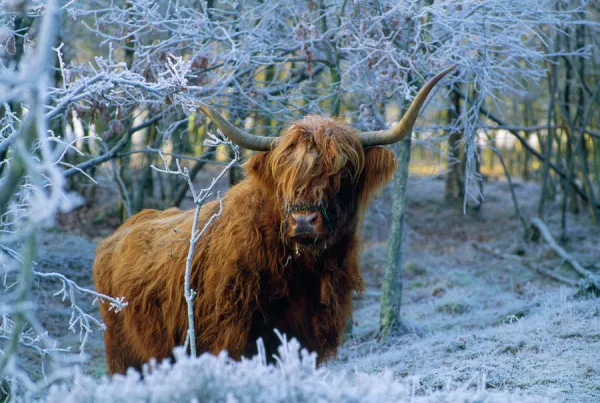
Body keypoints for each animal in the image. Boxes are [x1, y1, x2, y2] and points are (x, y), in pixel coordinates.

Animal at [94, 67, 452, 376]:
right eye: (284, 175)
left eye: (344, 174)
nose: (304, 221)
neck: (302, 274)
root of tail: (115, 236)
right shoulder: (231, 341)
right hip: (124, 356)